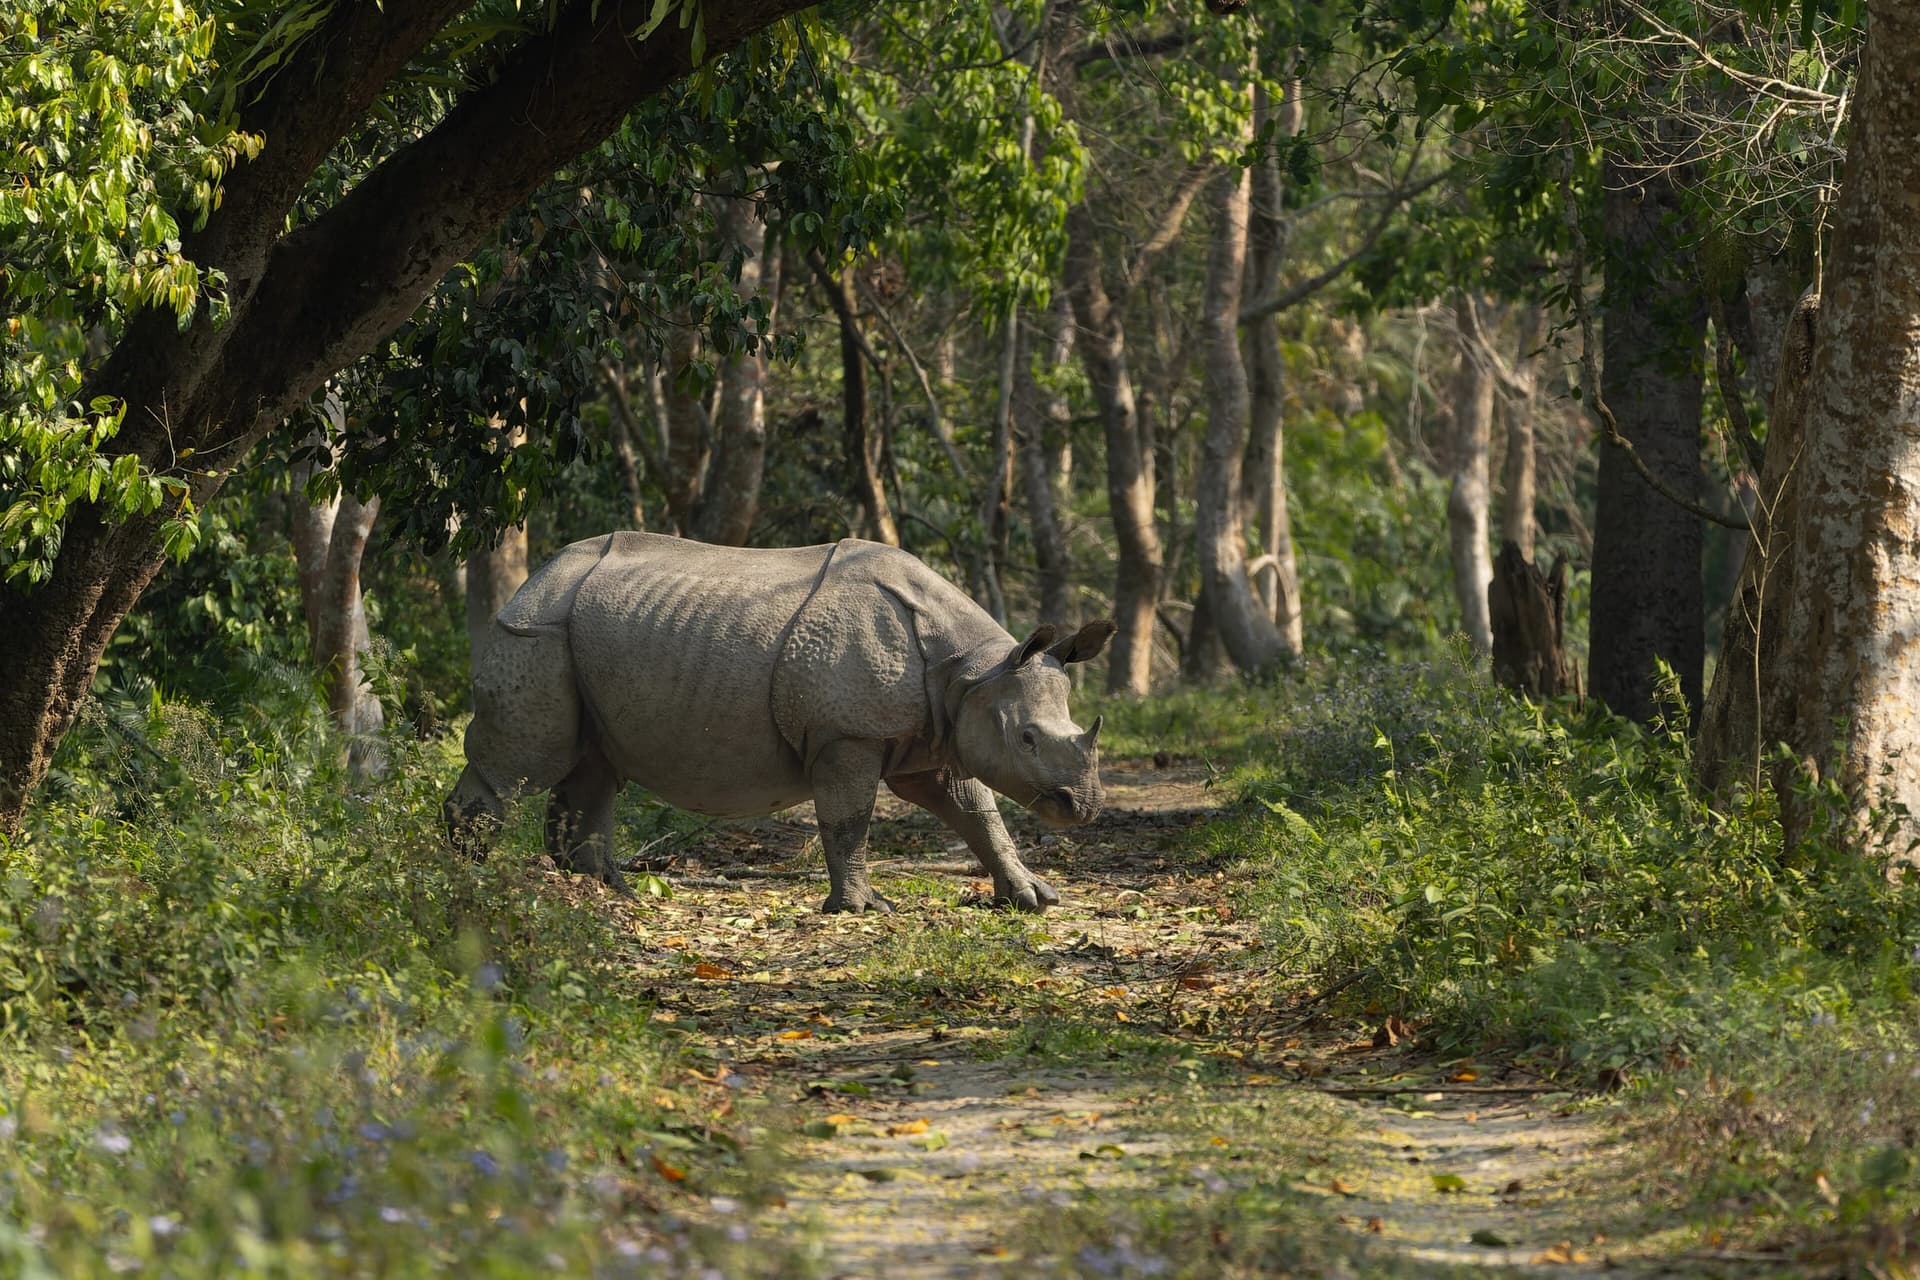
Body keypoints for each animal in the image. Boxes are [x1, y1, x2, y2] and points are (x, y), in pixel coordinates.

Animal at [445, 532, 1114, 913]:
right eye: (1026, 738)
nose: (1080, 807)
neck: (974, 671)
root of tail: (534, 580)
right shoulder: (849, 733)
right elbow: (849, 820)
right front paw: (863, 909)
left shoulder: (935, 735)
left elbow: (978, 812)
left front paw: (1033, 899)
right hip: (537, 632)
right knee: (526, 764)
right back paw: (466, 883)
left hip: (583, 633)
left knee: (592, 767)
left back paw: (606, 892)